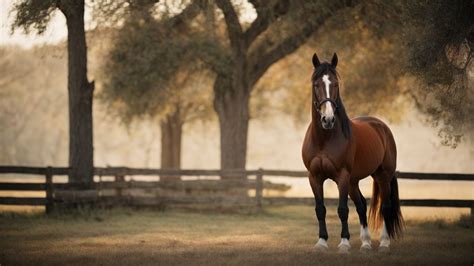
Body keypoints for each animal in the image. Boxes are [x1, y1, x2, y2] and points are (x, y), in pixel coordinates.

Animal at [302, 52, 402, 254]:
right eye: (316, 84)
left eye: (335, 84)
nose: (328, 119)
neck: (324, 139)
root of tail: (382, 127)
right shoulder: (314, 177)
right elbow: (320, 209)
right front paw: (321, 242)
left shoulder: (342, 176)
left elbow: (342, 210)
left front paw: (344, 243)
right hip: (354, 181)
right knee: (361, 205)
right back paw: (365, 243)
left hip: (382, 175)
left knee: (385, 206)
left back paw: (384, 243)